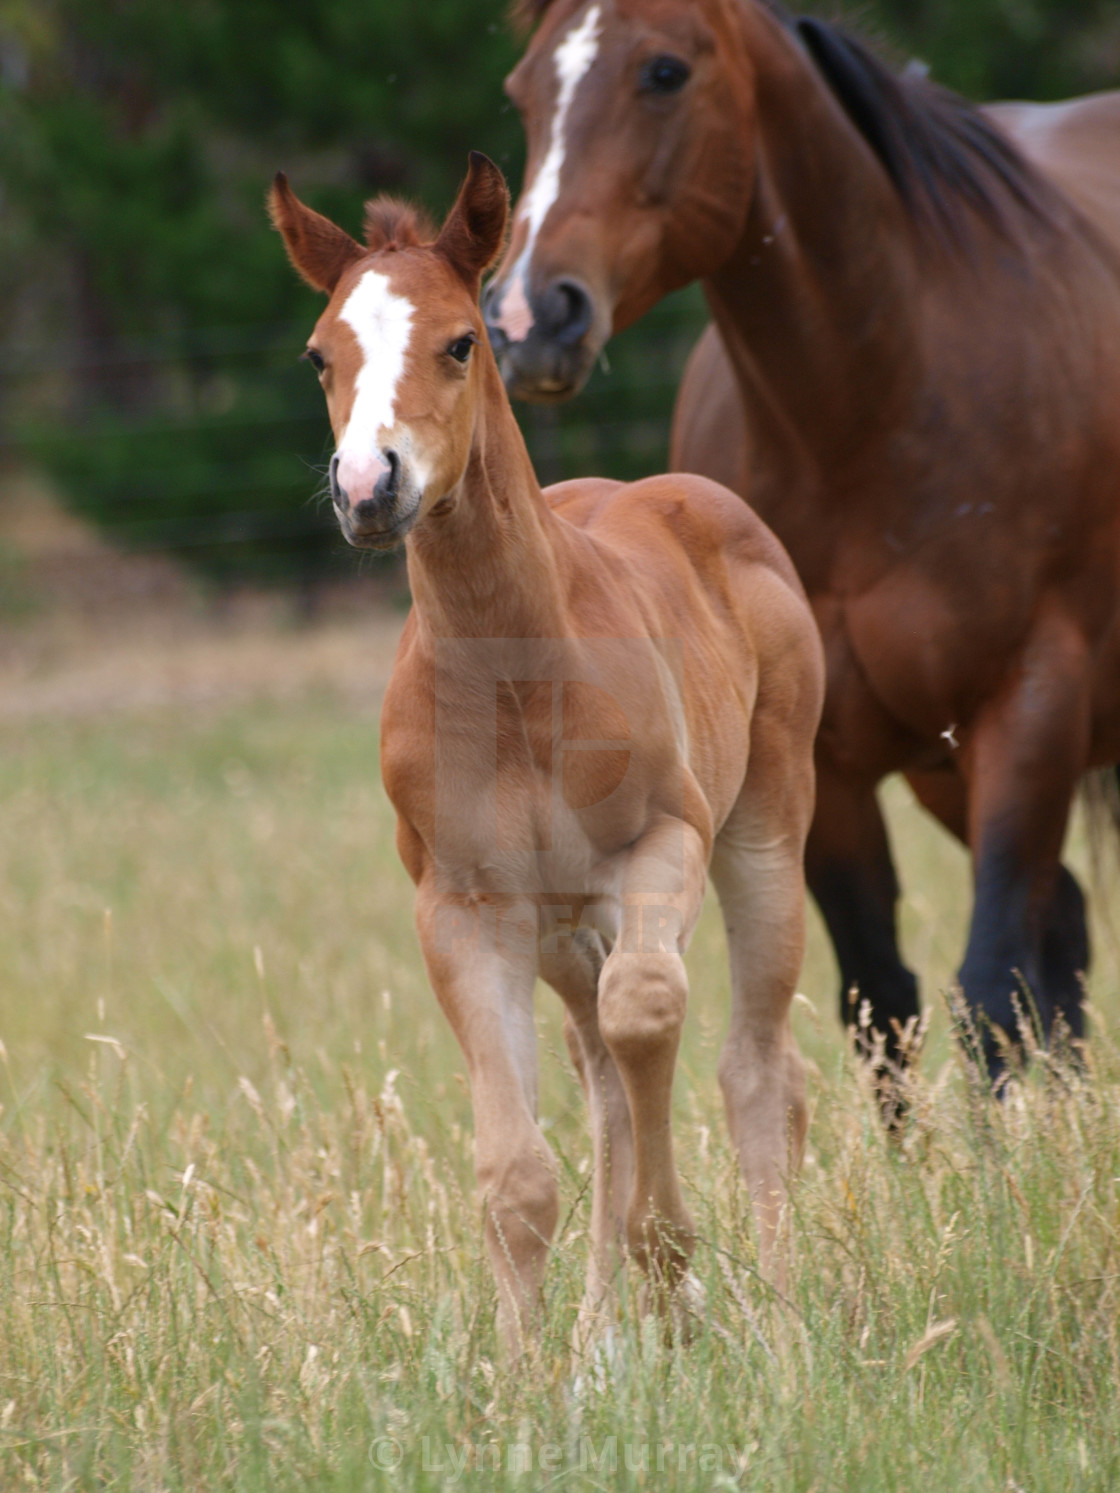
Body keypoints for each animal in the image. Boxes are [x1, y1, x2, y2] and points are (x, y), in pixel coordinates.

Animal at [271, 157, 824, 1349]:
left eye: (461, 340)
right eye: (320, 354)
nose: (369, 486)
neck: (517, 677)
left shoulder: (660, 848)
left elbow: (649, 1009)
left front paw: (672, 1266)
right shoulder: (466, 910)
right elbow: (517, 1172)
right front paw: (534, 1370)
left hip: (761, 834)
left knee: (755, 1069)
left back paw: (780, 1319)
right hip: (563, 931)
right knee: (604, 1083)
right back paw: (602, 1337)